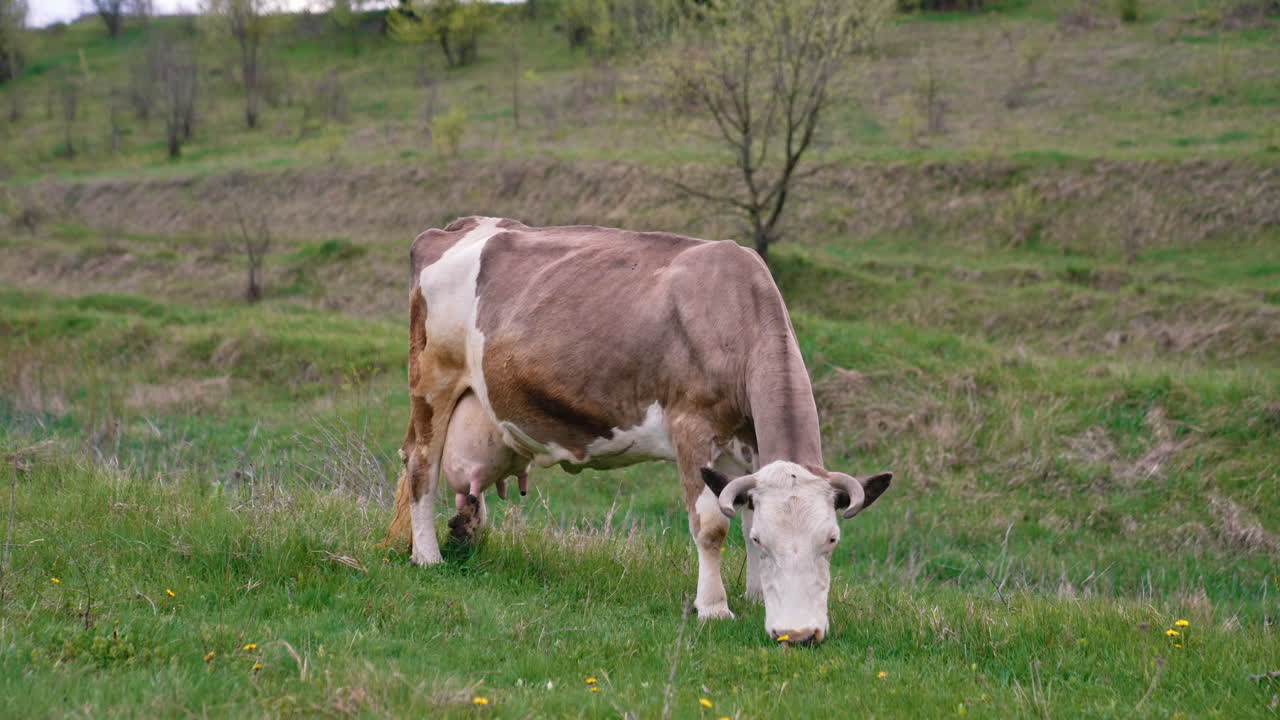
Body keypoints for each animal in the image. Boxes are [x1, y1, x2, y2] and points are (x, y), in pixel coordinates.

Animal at [386, 216, 892, 644]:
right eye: (766, 543)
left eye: (831, 540)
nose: (799, 635)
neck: (733, 310)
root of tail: (459, 226)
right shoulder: (691, 426)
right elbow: (712, 524)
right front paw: (714, 608)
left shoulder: (745, 442)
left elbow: (742, 508)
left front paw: (754, 597)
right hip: (433, 381)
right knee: (421, 462)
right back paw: (427, 555)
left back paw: (465, 531)